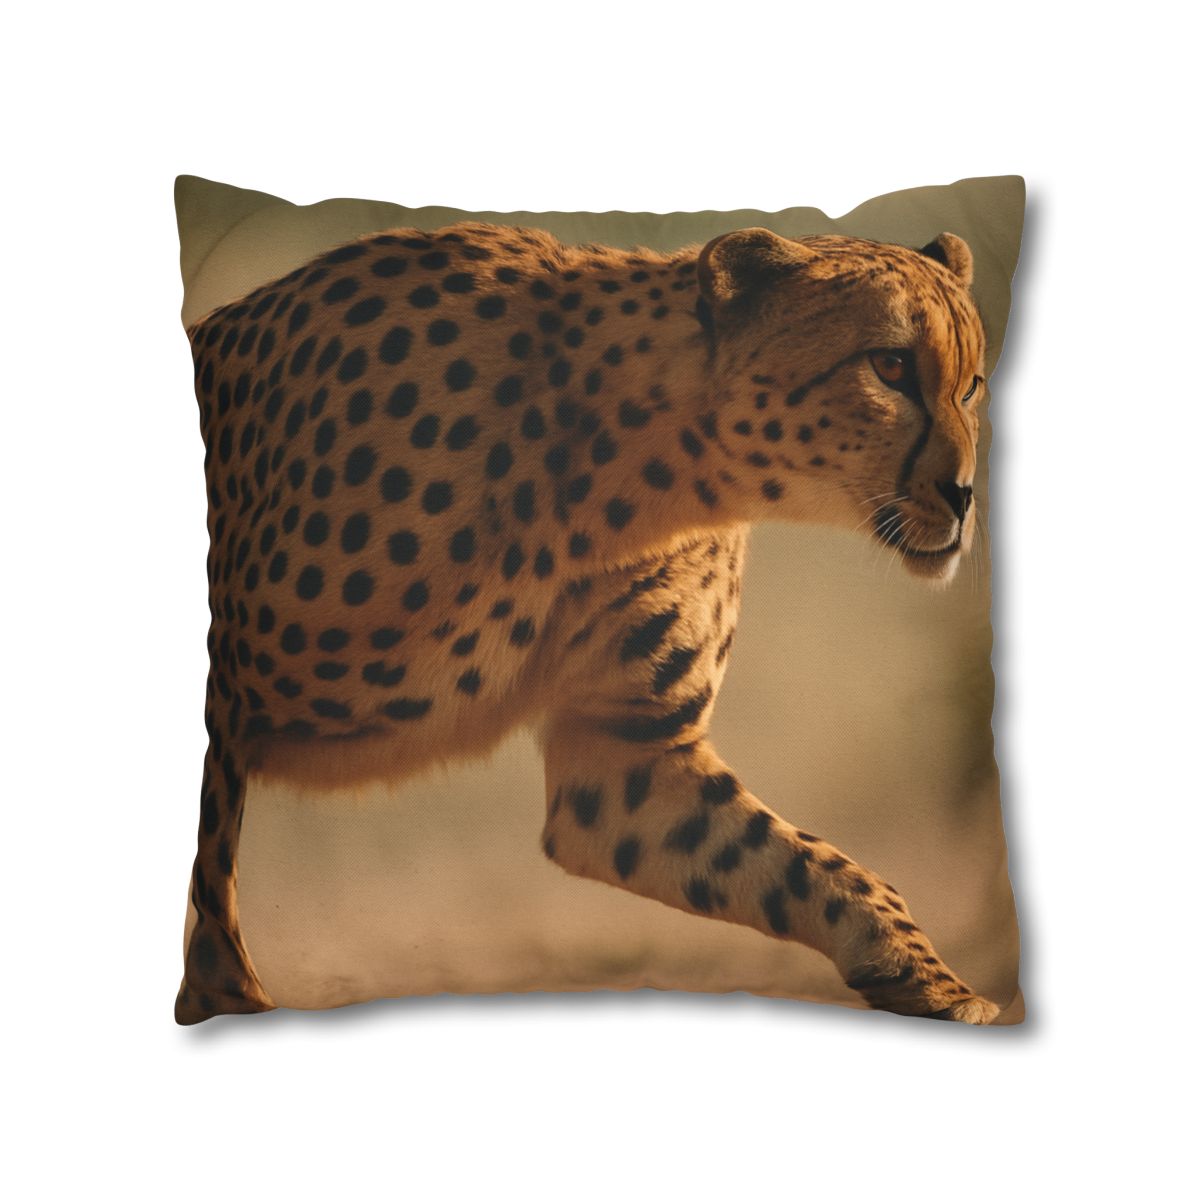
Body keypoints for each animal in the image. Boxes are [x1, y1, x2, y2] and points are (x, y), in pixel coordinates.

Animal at [177, 218, 997, 1025]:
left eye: (973, 384)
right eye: (889, 366)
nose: (964, 496)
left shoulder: (623, 758)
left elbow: (817, 868)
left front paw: (937, 984)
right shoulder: (224, 701)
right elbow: (212, 881)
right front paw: (229, 1000)